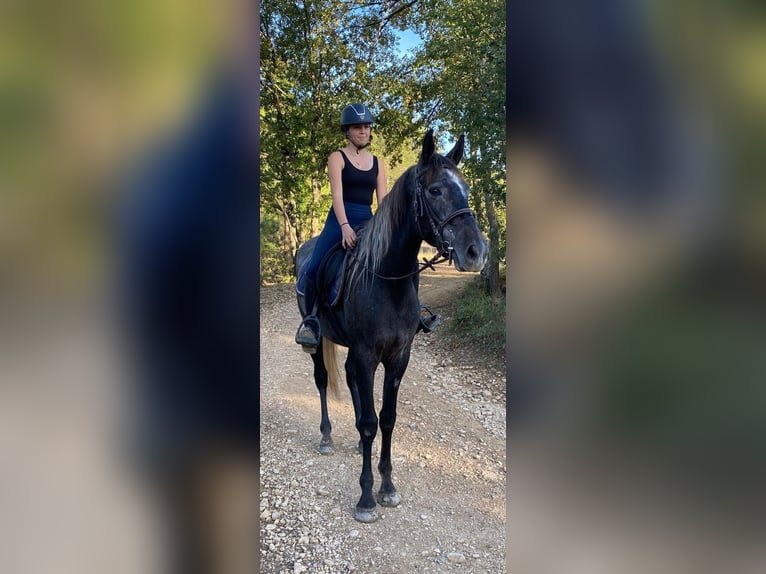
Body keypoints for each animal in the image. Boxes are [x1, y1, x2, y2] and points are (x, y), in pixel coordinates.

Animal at [296, 128, 488, 524]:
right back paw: (326, 438)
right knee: (323, 380)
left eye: (465, 187)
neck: (387, 280)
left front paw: (387, 487)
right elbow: (371, 422)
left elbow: (386, 419)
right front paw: (367, 498)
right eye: (435, 190)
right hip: (318, 343)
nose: (476, 252)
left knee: (350, 380)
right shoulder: (368, 354)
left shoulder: (398, 357)